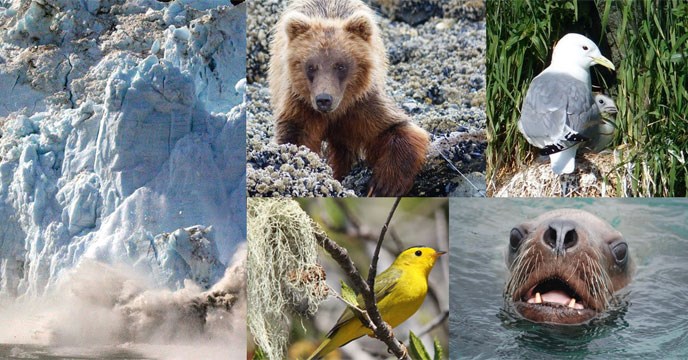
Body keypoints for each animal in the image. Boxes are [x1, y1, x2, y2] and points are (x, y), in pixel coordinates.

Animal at [270, 0, 428, 197]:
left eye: (340, 66)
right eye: (311, 66)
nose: (324, 99)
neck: (335, 112)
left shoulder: (362, 106)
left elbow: (398, 129)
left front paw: (382, 185)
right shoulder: (301, 105)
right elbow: (295, 138)